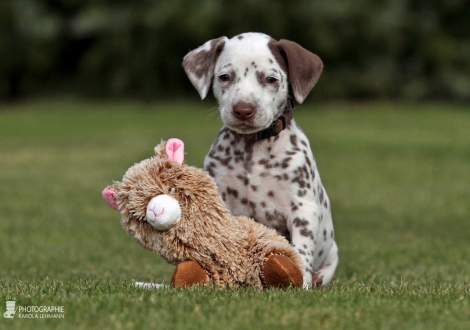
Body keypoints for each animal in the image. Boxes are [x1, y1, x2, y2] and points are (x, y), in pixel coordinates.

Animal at [183, 32, 338, 288]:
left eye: (270, 79)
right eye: (224, 77)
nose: (243, 110)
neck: (252, 148)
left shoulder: (302, 208)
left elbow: (300, 250)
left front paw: (301, 281)